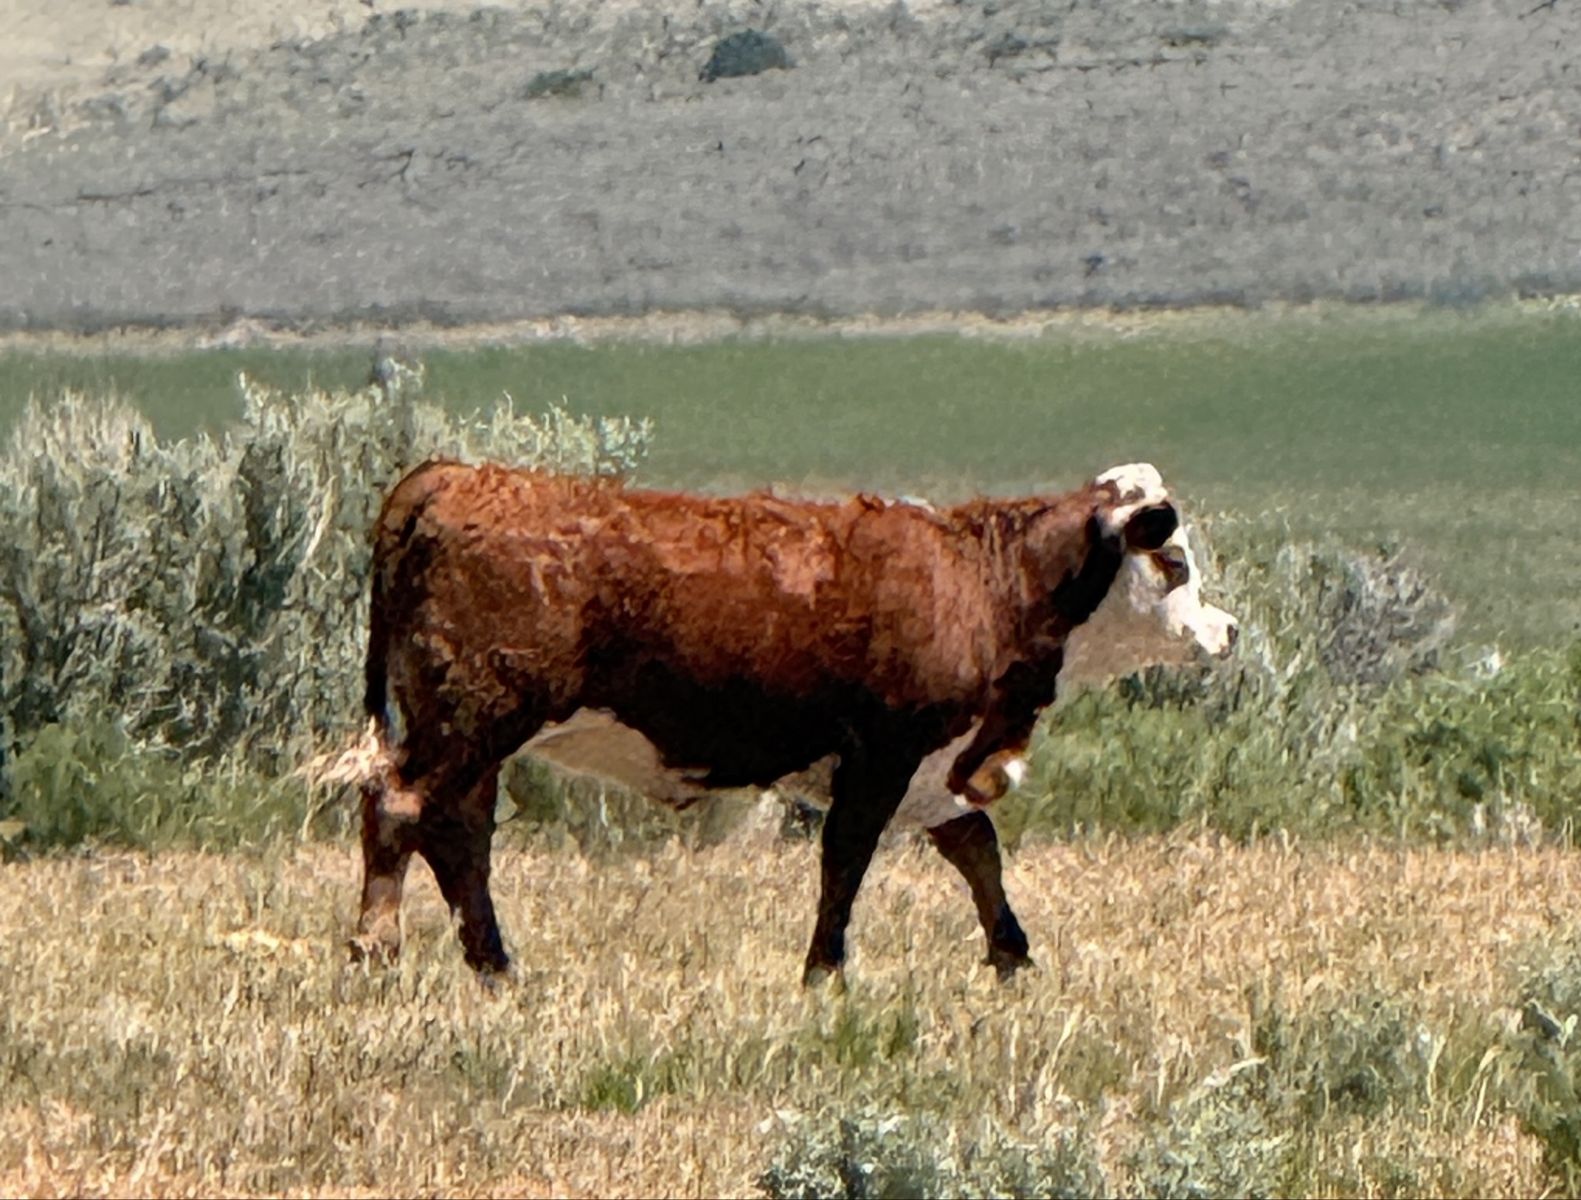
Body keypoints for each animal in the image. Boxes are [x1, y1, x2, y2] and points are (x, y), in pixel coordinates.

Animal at [348, 461, 1236, 983]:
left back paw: (493, 966)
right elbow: (845, 860)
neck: (982, 580)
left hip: (470, 738)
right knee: (398, 810)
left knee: (458, 839)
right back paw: (374, 953)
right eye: (1173, 561)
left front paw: (1011, 957)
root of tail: (449, 477)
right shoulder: (883, 752)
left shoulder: (931, 765)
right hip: (470, 722)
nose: (1224, 630)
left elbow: (975, 848)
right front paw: (825, 973)